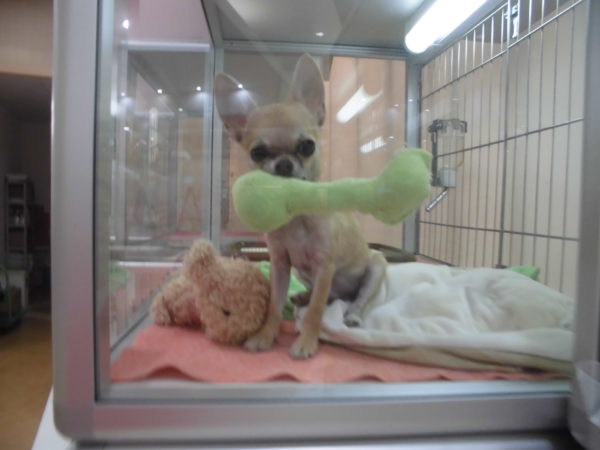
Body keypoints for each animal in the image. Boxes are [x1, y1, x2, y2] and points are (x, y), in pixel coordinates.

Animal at [215, 54, 387, 359]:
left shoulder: (324, 266)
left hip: (376, 266)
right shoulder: (281, 265)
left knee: (353, 300)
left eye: (307, 146)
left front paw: (307, 341)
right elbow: (274, 303)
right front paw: (265, 335)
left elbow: (317, 311)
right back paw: (303, 297)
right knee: (329, 297)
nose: (284, 164)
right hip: (301, 273)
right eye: (257, 153)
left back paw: (352, 314)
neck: (295, 217)